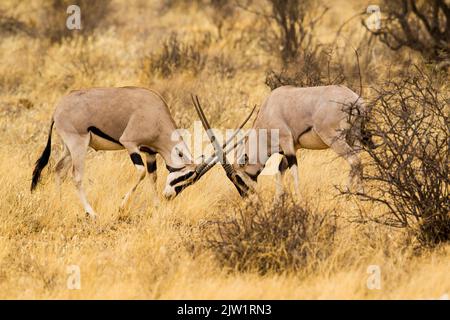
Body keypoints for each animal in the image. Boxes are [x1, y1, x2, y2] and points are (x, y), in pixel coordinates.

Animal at [31, 87, 253, 218]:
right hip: (78, 145)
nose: (169, 196)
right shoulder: (131, 144)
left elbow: (153, 177)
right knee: (76, 176)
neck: (155, 114)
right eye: (187, 176)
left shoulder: (150, 152)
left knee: (58, 170)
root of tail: (57, 110)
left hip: (69, 148)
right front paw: (122, 207)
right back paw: (91, 212)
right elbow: (141, 173)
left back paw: (59, 206)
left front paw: (156, 207)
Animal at [192, 85, 374, 198]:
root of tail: (356, 101)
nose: (246, 196)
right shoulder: (293, 147)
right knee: (358, 161)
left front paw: (299, 200)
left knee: (354, 161)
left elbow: (292, 170)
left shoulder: (287, 144)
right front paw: (277, 203)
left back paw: (347, 195)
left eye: (238, 178)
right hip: (354, 136)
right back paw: (361, 195)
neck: (268, 110)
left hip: (334, 139)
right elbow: (280, 170)